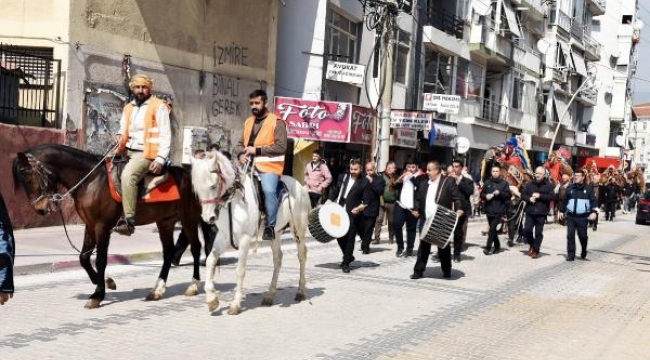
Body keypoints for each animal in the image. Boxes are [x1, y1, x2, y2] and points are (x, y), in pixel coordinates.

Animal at [12, 145, 200, 308]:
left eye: (29, 178)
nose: (40, 209)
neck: (91, 181)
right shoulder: (90, 224)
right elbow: (84, 258)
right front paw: (105, 282)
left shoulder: (102, 227)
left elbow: (101, 260)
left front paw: (97, 295)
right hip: (165, 221)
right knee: (168, 252)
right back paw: (157, 290)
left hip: (188, 218)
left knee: (196, 247)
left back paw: (193, 286)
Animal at [189, 152, 310, 316]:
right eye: (196, 189)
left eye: (213, 186)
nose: (209, 218)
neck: (234, 202)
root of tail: (300, 186)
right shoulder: (223, 237)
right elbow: (210, 261)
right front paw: (212, 300)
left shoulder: (245, 239)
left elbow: (240, 270)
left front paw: (235, 304)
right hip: (276, 234)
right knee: (278, 259)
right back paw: (269, 295)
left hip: (298, 230)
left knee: (302, 255)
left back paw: (301, 291)